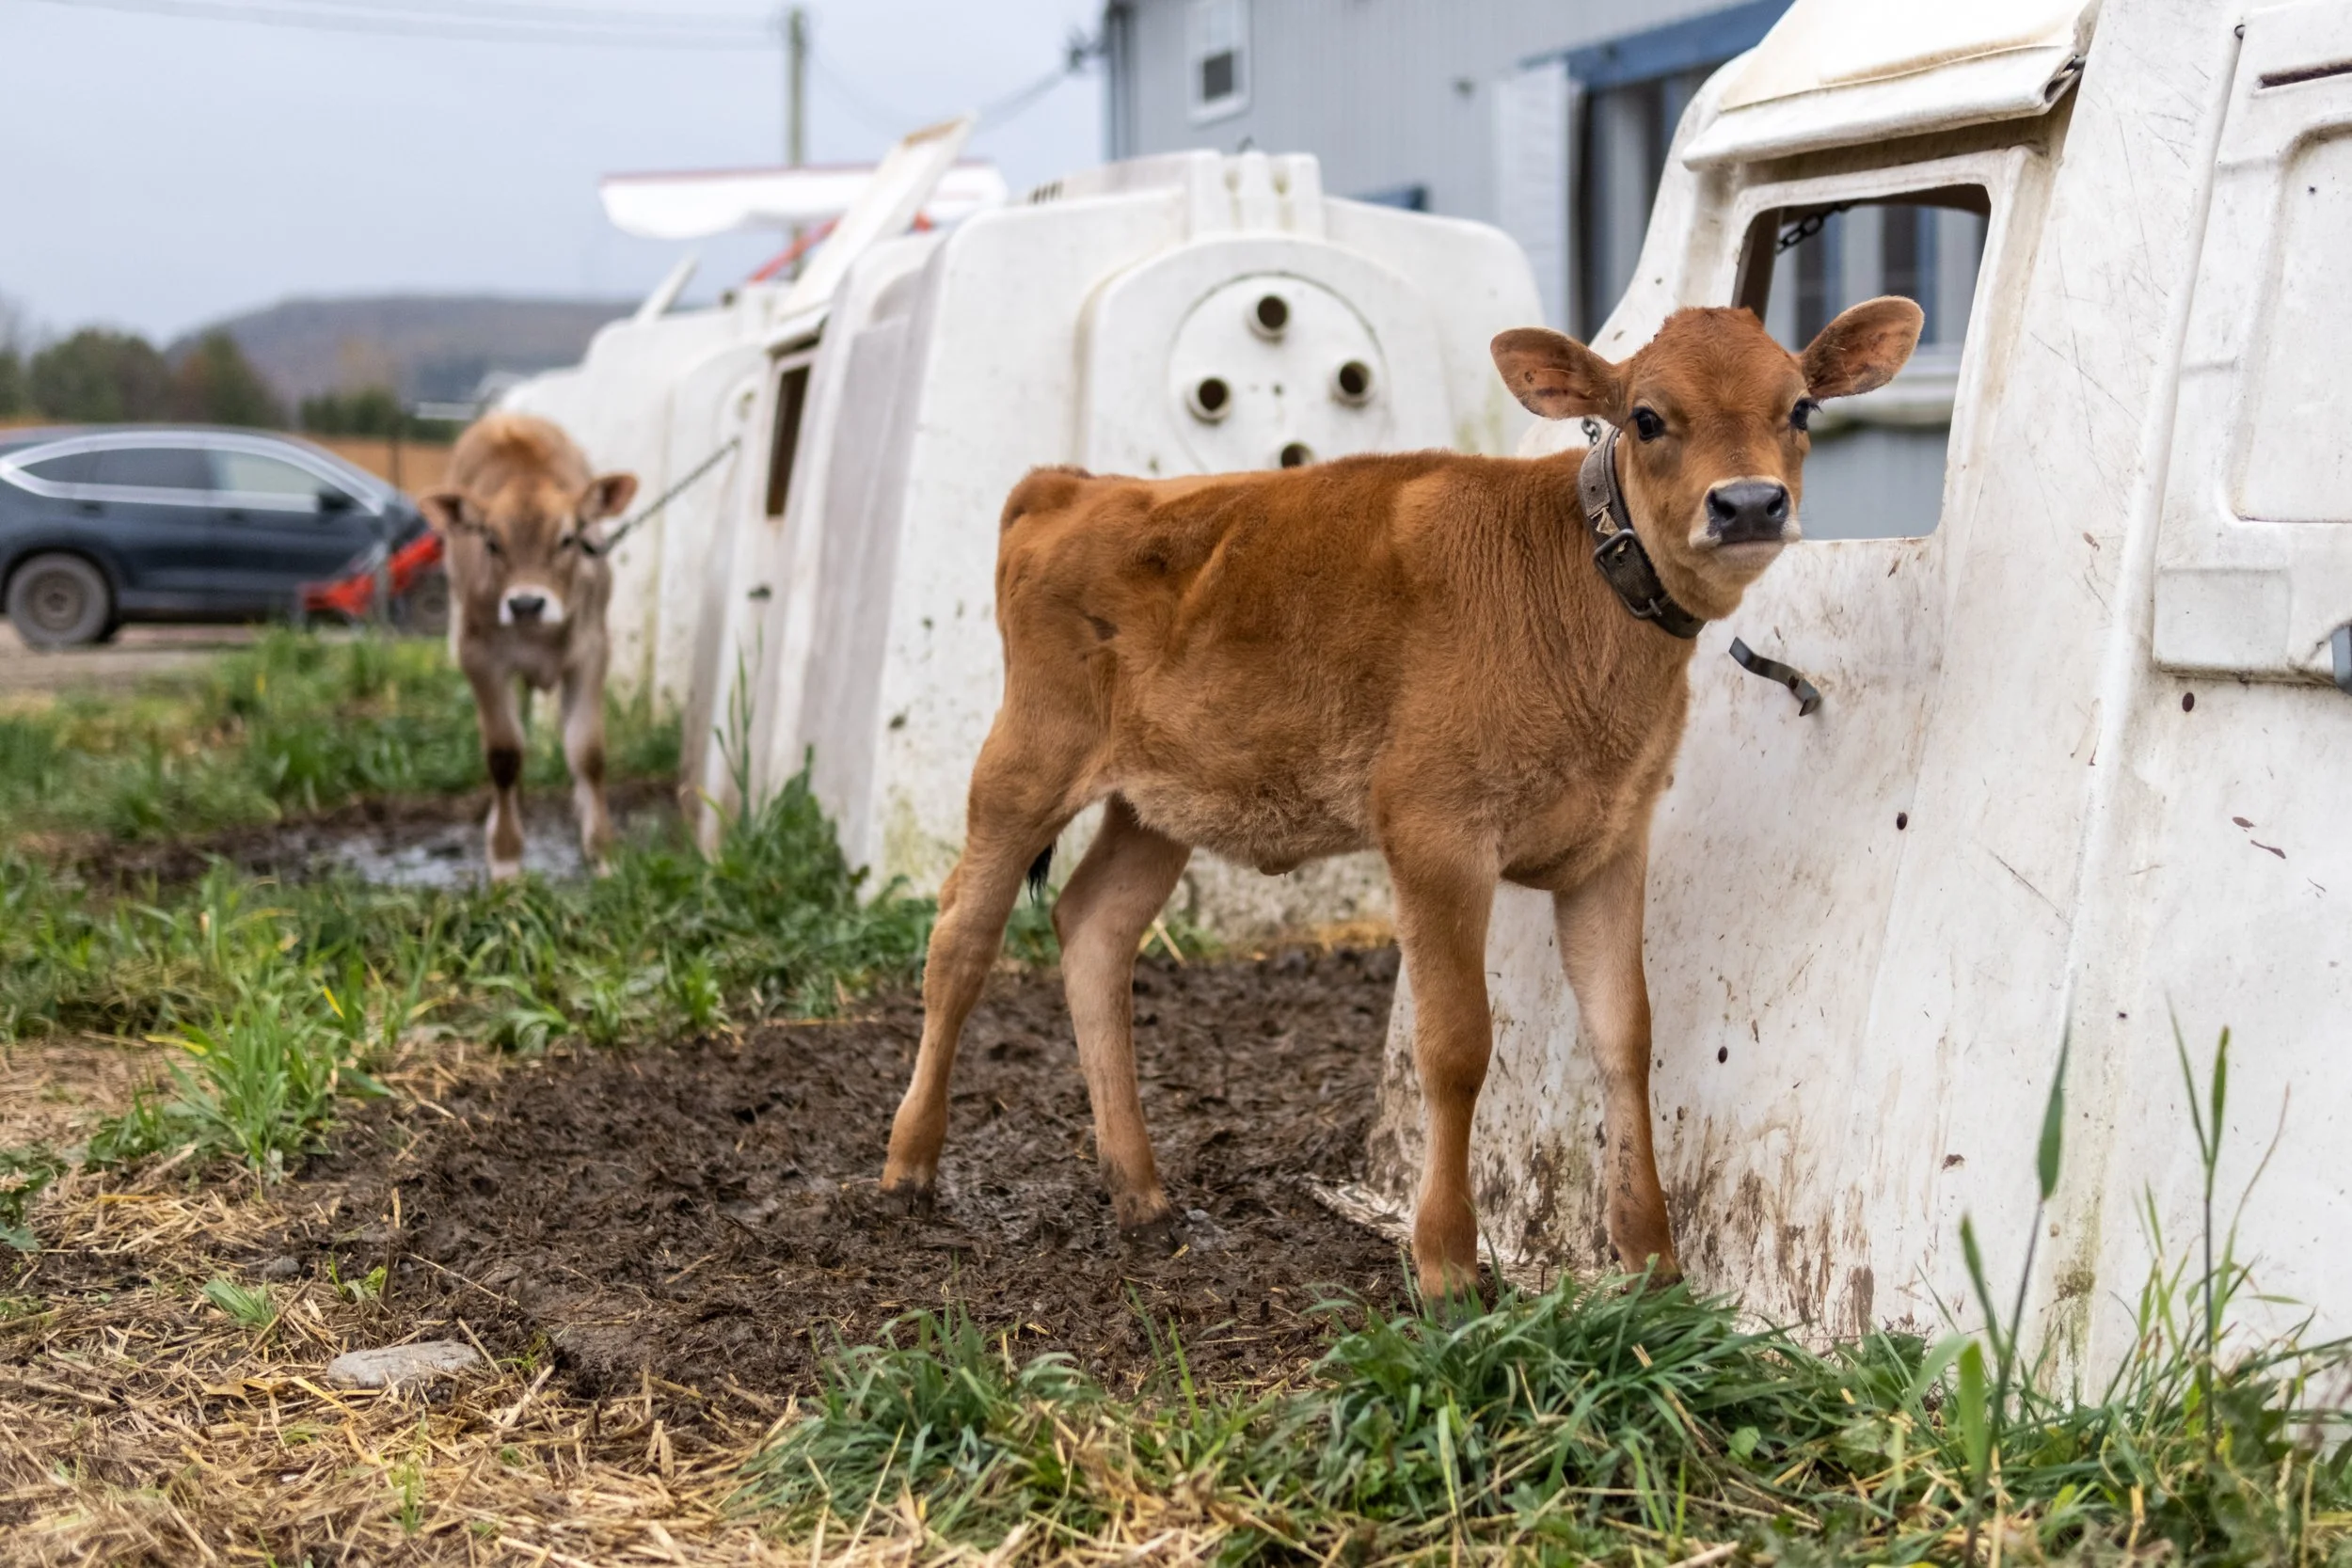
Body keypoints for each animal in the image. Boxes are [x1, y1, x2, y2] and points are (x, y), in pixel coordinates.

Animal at [420, 413, 638, 881]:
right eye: (490, 541)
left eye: (568, 538)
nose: (525, 603)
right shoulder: (480, 657)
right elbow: (504, 755)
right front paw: (505, 859)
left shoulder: (592, 652)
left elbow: (588, 753)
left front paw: (603, 852)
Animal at [880, 299, 1923, 1298]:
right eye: (1646, 416)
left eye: (1801, 408)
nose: (1748, 503)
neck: (1580, 598)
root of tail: (1078, 485)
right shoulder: (1435, 833)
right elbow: (1456, 1045)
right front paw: (1447, 1264)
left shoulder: (1611, 841)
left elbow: (1625, 1034)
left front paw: (1653, 1262)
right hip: (1025, 758)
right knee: (960, 935)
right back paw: (907, 1168)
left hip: (1154, 803)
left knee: (1094, 927)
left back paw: (1143, 1194)